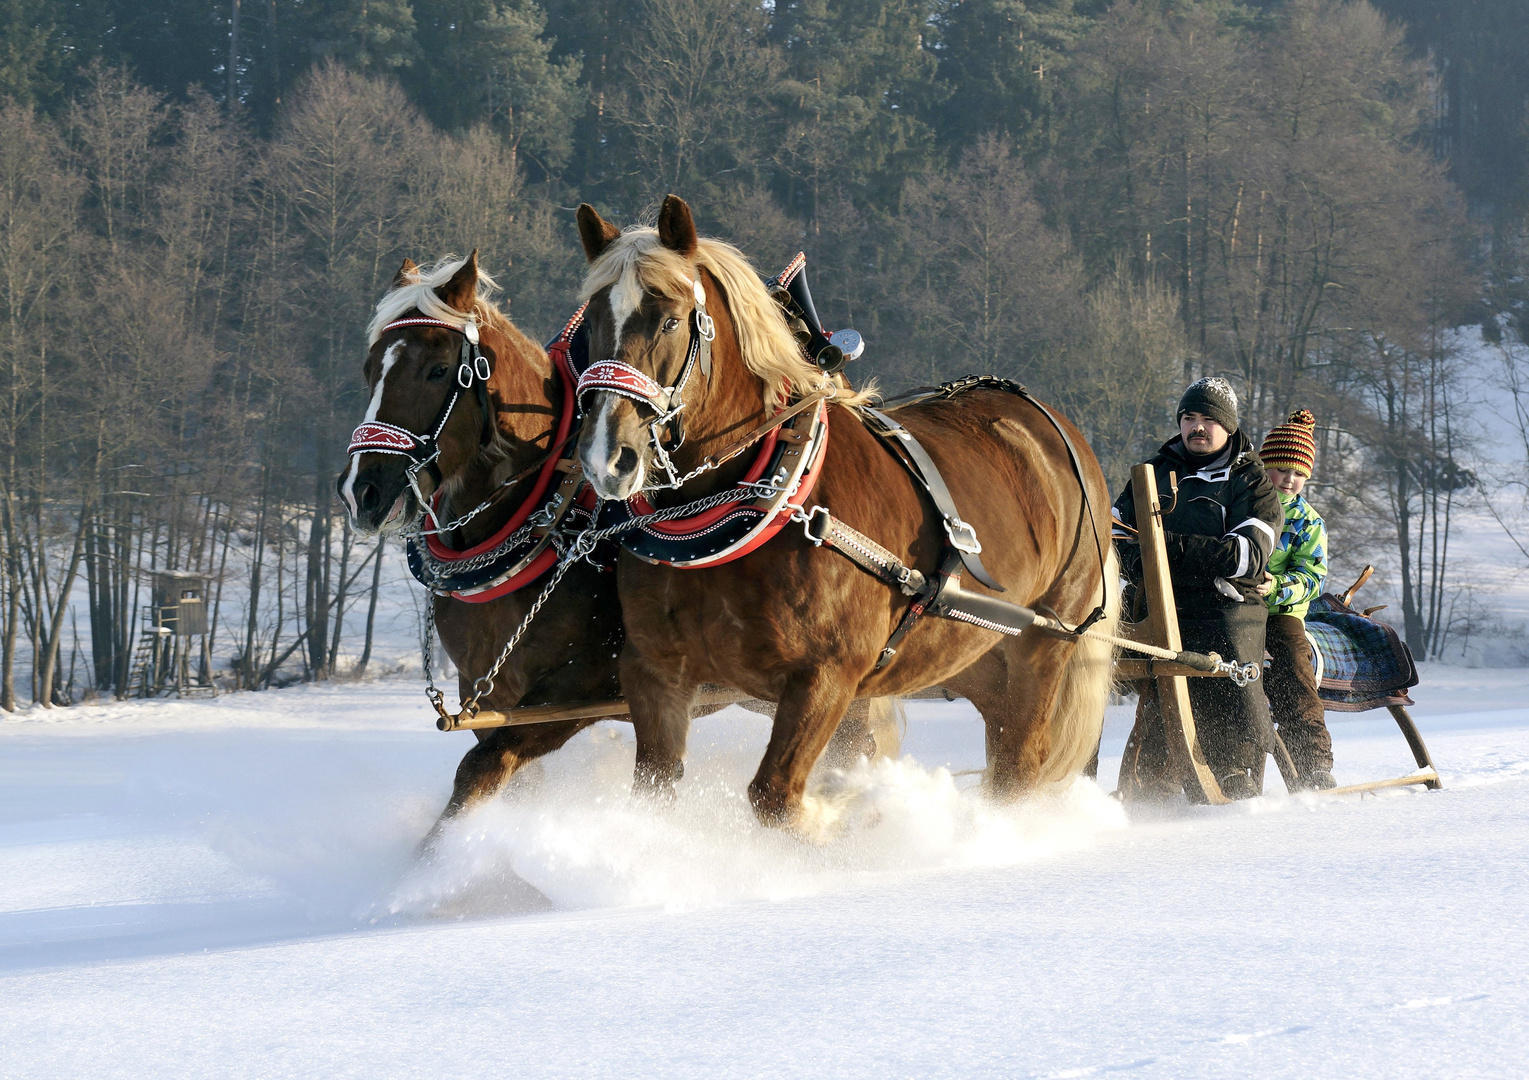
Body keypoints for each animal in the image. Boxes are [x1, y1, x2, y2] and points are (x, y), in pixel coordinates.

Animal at [574, 195, 1125, 826]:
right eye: (590, 326)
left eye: (669, 320)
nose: (605, 457)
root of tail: (1055, 426)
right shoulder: (655, 672)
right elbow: (656, 791)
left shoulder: (826, 676)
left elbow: (775, 796)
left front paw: (839, 814)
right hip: (976, 657)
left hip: (1041, 647)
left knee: (1020, 768)